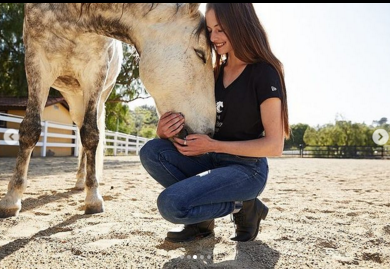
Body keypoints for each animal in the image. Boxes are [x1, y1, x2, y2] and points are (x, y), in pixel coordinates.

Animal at [0, 3, 216, 218]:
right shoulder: (37, 63)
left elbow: (90, 135)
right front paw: (11, 198)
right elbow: (30, 130)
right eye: (201, 53)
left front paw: (92, 197)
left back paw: (82, 181)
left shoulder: (96, 70)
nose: (209, 132)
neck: (74, 14)